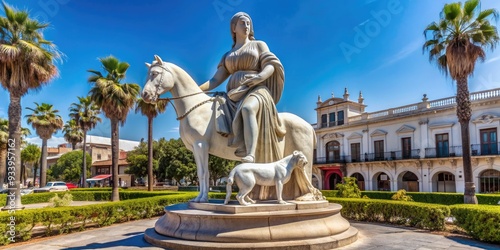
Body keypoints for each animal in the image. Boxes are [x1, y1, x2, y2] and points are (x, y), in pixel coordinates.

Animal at [143, 55, 318, 203]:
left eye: (155, 73)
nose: (145, 95)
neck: (194, 108)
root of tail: (309, 126)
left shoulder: (201, 145)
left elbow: (204, 173)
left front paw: (202, 199)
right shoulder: (195, 148)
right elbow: (201, 173)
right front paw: (199, 198)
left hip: (303, 159)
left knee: (308, 176)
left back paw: (306, 197)